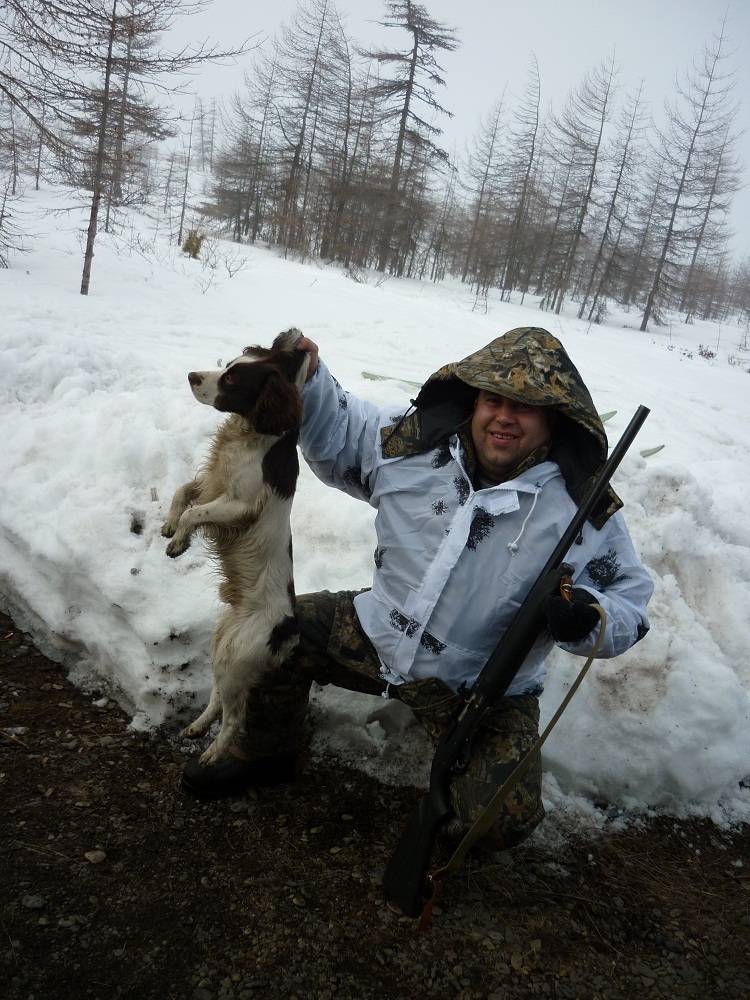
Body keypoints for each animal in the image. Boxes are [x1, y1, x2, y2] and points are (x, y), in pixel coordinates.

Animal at [161, 328, 310, 765]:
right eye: (227, 365)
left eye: (230, 380)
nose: (192, 375)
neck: (253, 434)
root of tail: (289, 632)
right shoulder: (212, 484)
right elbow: (183, 492)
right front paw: (169, 524)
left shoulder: (239, 505)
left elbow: (196, 513)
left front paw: (179, 543)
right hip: (222, 642)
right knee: (217, 699)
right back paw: (197, 727)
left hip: (238, 655)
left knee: (235, 716)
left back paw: (213, 753)